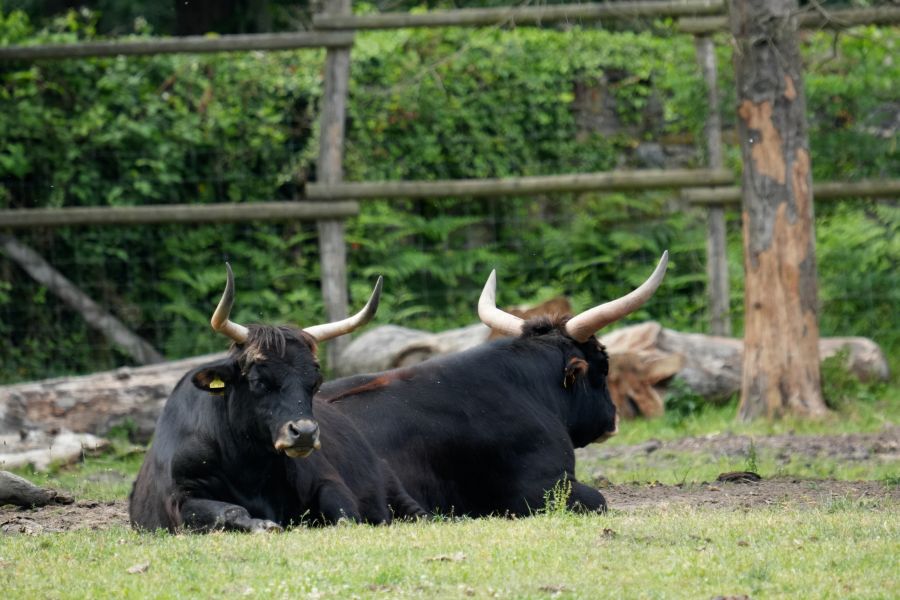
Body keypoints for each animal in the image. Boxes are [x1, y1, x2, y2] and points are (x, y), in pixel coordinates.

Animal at [129, 264, 424, 533]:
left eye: (315, 382)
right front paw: (263, 525)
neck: (247, 466)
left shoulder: (327, 480)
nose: (304, 433)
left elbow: (345, 515)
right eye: (258, 381)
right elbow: (229, 510)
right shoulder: (181, 497)